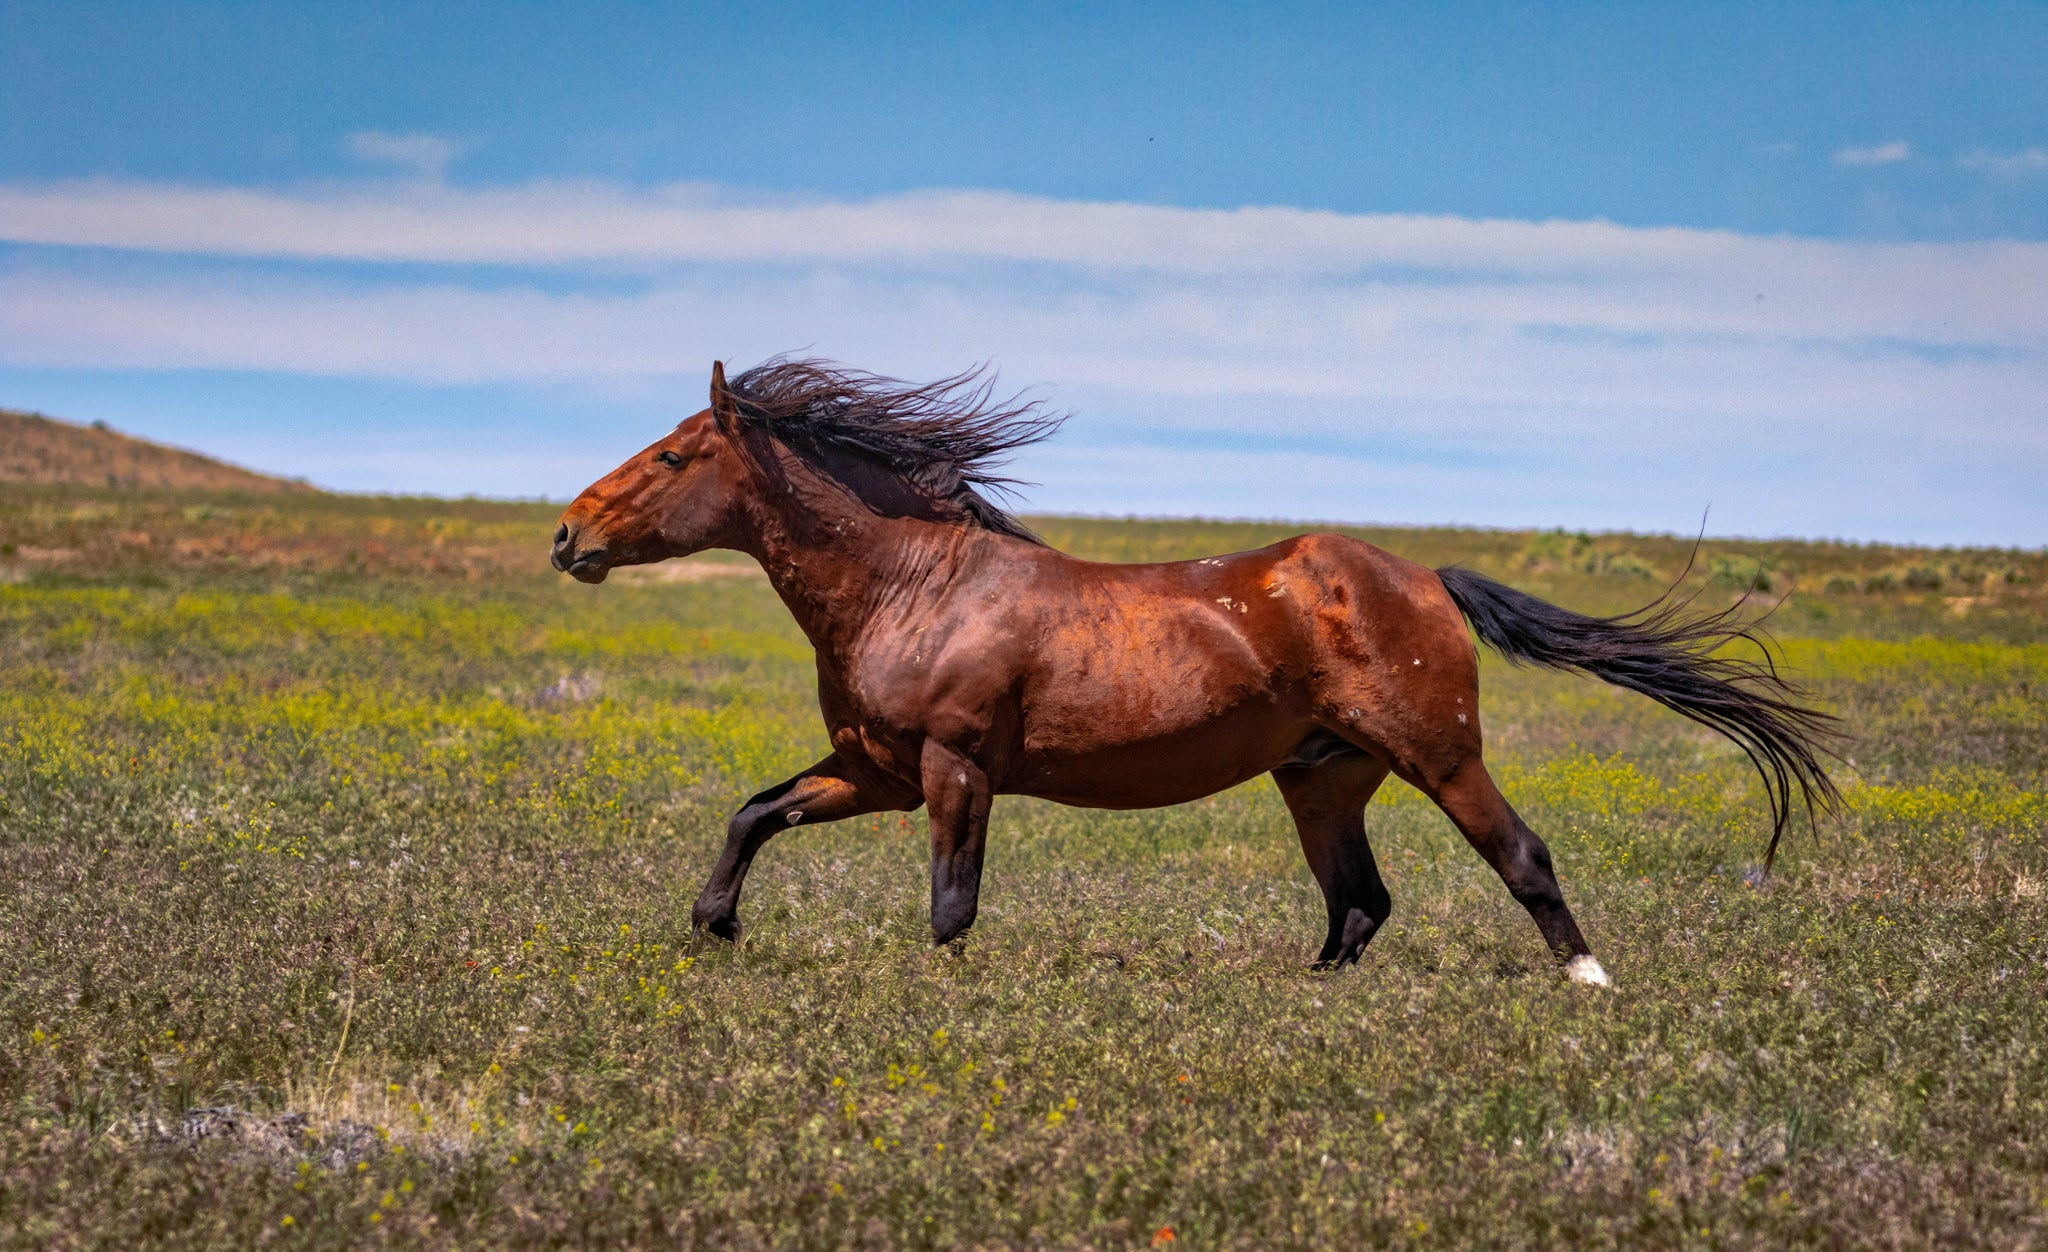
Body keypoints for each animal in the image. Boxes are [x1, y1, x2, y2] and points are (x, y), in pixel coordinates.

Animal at [548, 358, 1843, 983]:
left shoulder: (954, 769)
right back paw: (1304, 993)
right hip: (1321, 776)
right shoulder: (877, 769)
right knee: (1358, 902)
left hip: (1437, 754)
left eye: (671, 456)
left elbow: (950, 907)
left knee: (1516, 856)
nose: (567, 536)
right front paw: (714, 924)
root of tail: (1423, 577)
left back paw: (1587, 980)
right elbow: (754, 810)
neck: (915, 584)